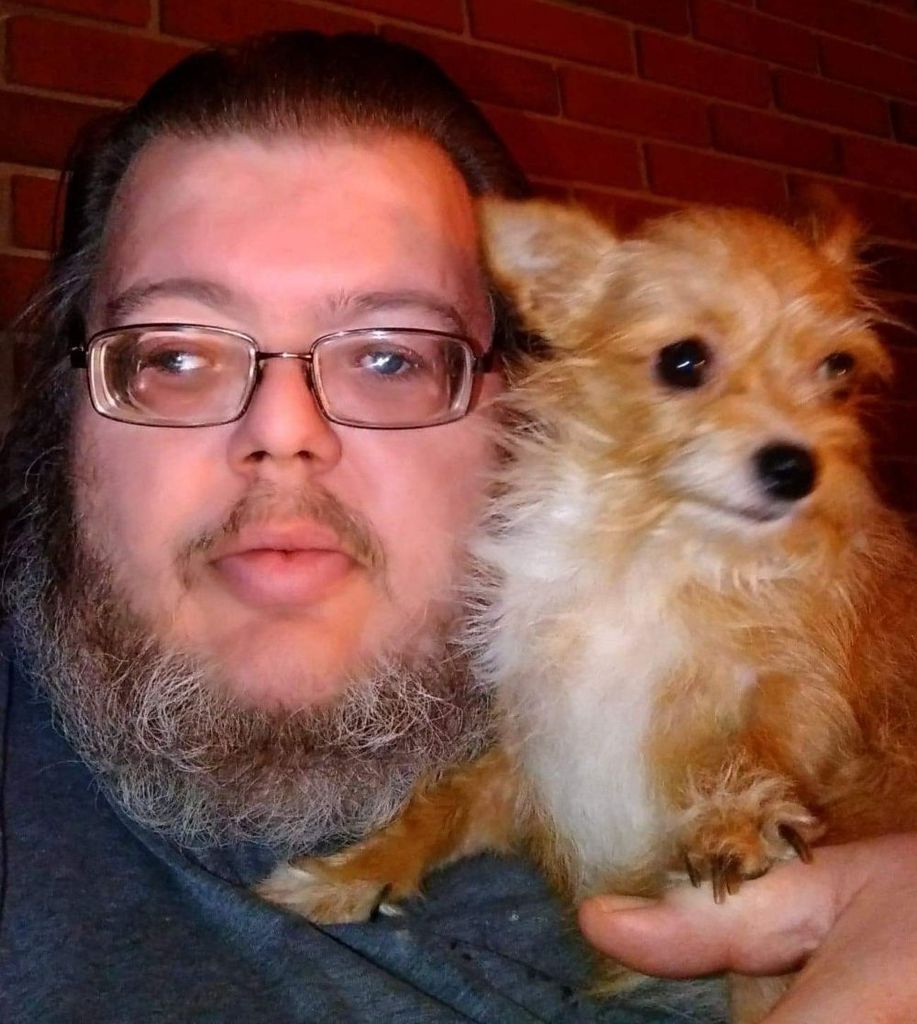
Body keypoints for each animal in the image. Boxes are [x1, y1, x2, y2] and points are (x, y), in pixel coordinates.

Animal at [259, 196, 917, 1023]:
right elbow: (439, 804)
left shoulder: (801, 688)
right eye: (682, 362)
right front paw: (349, 873)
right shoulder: (535, 758)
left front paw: (733, 816)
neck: (647, 549)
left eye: (837, 370)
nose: (797, 469)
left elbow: (765, 735)